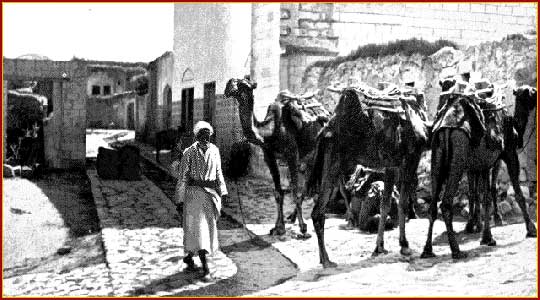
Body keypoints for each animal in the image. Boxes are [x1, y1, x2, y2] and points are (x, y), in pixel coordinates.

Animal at [224, 77, 330, 237]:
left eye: (243, 84)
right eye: (232, 82)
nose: (228, 86)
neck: (269, 132)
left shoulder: (292, 154)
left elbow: (294, 191)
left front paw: (303, 228)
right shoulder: (269, 157)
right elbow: (278, 193)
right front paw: (278, 228)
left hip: (315, 151)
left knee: (308, 184)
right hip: (307, 156)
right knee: (306, 182)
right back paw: (292, 217)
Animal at [306, 86, 428, 268]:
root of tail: (325, 131)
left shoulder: (391, 164)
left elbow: (385, 205)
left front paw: (379, 247)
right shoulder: (412, 157)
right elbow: (402, 203)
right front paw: (404, 246)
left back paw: (323, 258)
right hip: (334, 161)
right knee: (318, 212)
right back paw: (327, 261)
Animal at [422, 85, 536, 260]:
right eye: (531, 92)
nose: (536, 92)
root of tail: (446, 128)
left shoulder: (482, 164)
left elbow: (485, 196)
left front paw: (487, 237)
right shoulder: (508, 153)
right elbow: (517, 194)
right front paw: (531, 229)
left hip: (437, 158)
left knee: (433, 205)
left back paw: (427, 250)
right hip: (458, 156)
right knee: (446, 203)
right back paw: (456, 250)